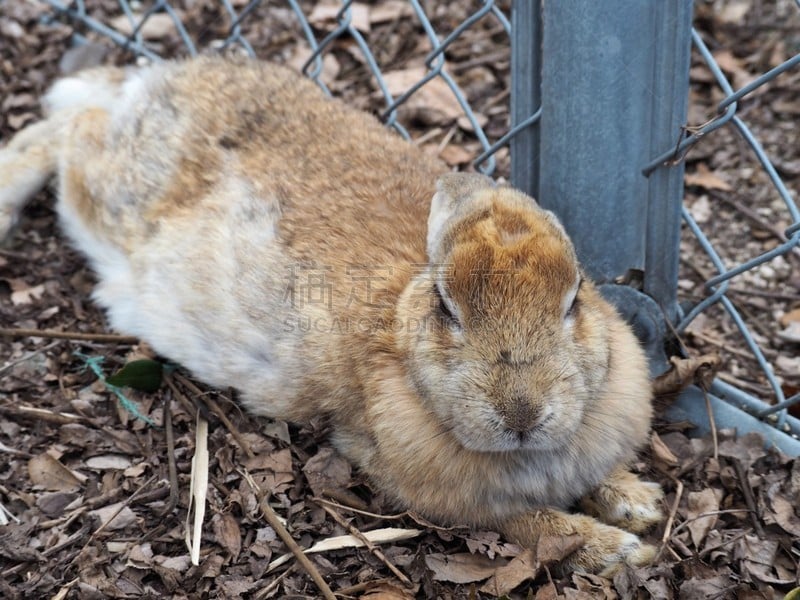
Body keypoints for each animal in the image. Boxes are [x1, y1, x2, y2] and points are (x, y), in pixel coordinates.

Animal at [0, 56, 664, 576]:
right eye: (446, 307)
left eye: (574, 299)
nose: (522, 414)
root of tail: (160, 78)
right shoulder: (426, 486)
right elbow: (534, 525)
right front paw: (621, 551)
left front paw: (640, 501)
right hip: (108, 191)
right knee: (67, 132)